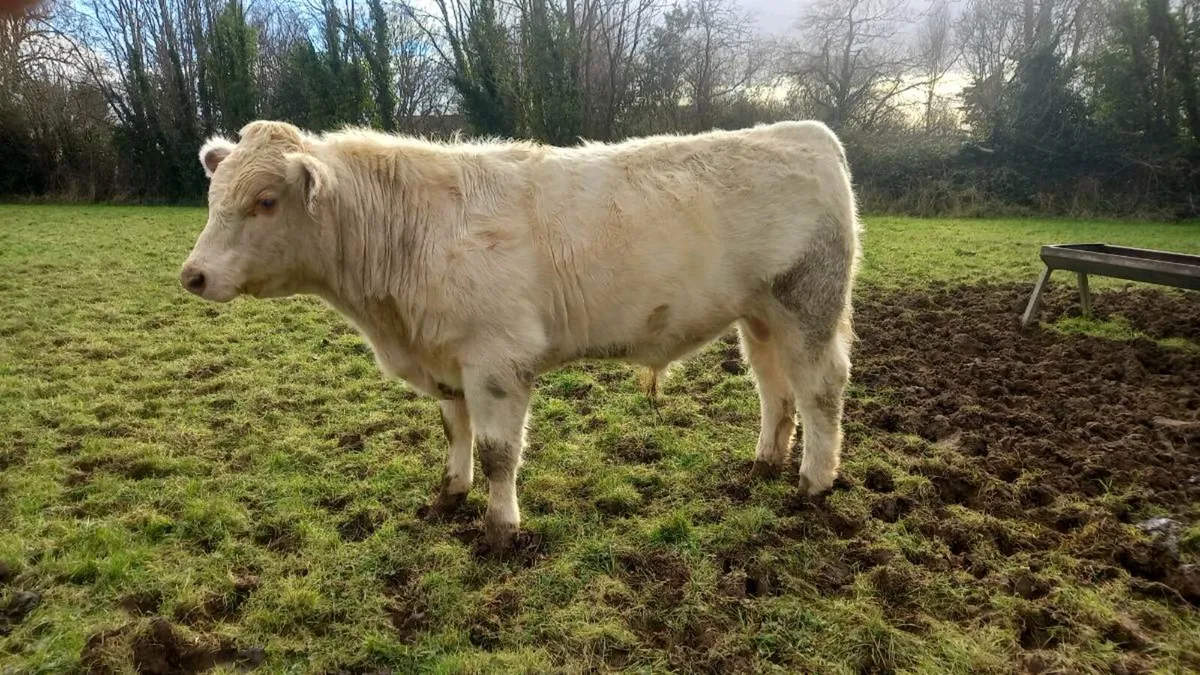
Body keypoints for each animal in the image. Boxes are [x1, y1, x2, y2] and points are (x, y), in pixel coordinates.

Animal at [181, 119, 860, 554]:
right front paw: (449, 495)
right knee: (774, 389)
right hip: (760, 316)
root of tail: (807, 131)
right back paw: (764, 463)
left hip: (809, 305)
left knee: (821, 390)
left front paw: (501, 528)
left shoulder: (495, 361)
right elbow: (456, 433)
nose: (194, 275)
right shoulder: (448, 358)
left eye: (266, 200)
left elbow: (499, 452)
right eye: (214, 195)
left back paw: (812, 482)